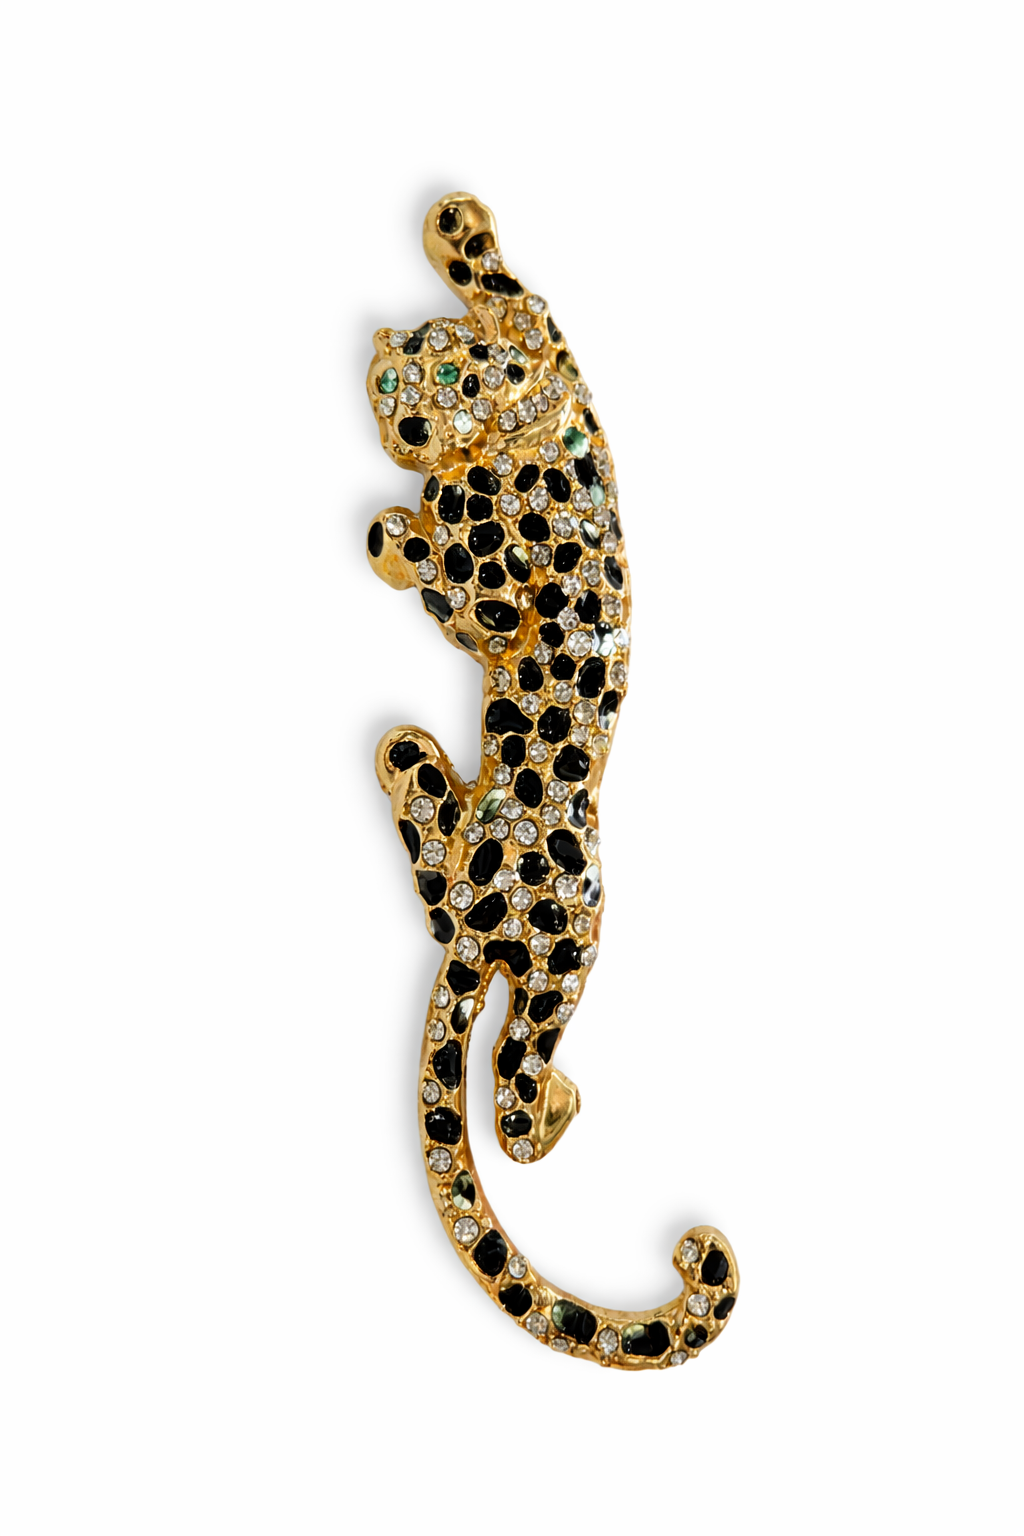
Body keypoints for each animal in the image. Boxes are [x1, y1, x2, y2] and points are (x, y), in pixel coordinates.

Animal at [364, 193, 738, 1367]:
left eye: (442, 381)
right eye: (394, 376)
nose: (397, 421)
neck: (532, 415)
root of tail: (486, 914)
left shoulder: (496, 587)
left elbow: (453, 589)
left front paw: (392, 532)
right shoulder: (556, 354)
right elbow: (515, 289)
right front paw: (461, 236)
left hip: (568, 947)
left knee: (515, 1092)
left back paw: (556, 1107)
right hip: (490, 910)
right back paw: (414, 769)